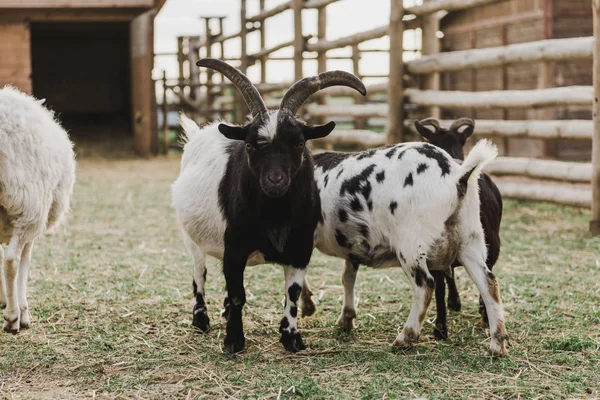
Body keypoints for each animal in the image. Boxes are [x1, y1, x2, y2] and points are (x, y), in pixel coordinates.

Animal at [0, 86, 76, 332]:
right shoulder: (31, 222)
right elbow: (24, 262)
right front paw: (22, 310)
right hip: (30, 205)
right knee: (12, 261)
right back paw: (12, 318)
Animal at [171, 58, 368, 354]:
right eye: (250, 145)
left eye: (299, 143)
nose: (275, 180)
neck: (275, 216)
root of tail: (198, 135)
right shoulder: (235, 248)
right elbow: (238, 295)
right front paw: (234, 341)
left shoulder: (300, 249)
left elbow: (292, 293)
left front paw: (292, 338)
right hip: (189, 236)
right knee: (199, 273)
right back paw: (201, 319)